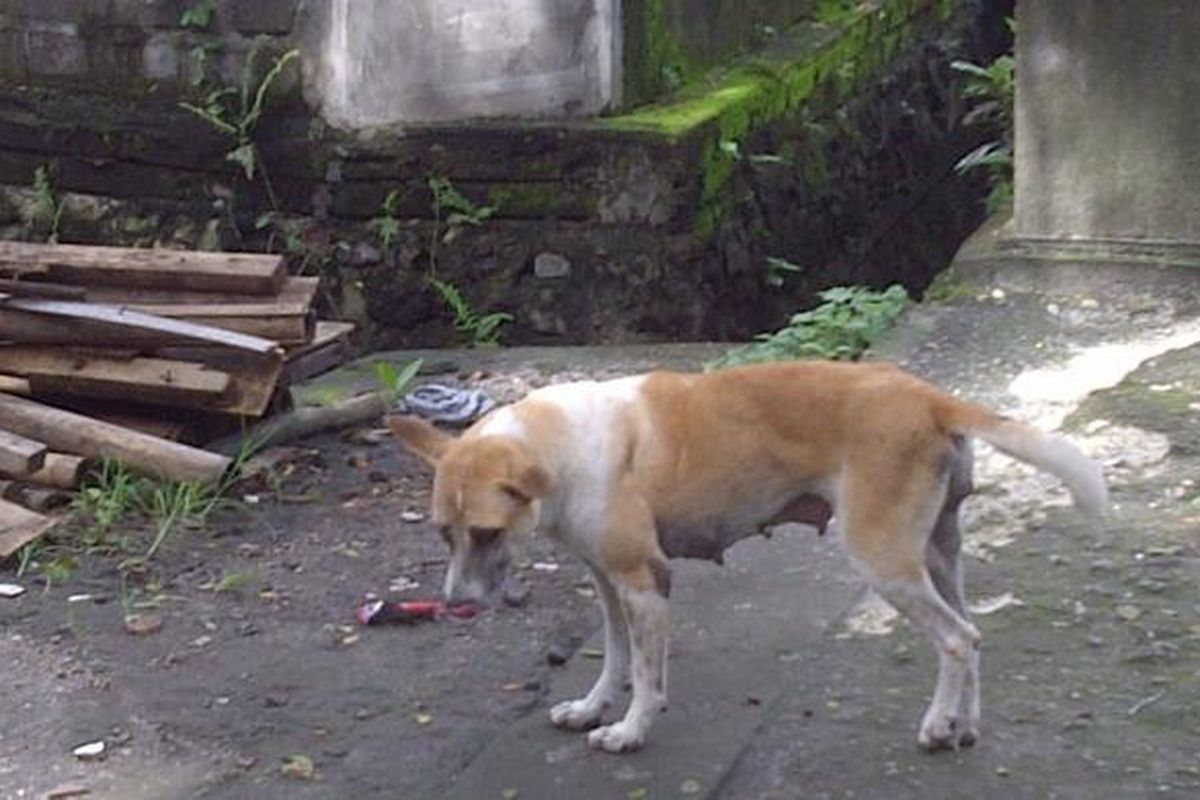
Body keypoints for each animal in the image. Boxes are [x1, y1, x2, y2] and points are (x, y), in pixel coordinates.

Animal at [388, 362, 1108, 758]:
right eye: (444, 534)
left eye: (486, 534)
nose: (453, 605)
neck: (560, 443)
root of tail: (928, 396)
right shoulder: (608, 584)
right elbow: (616, 661)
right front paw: (593, 709)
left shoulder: (645, 582)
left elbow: (646, 676)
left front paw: (629, 732)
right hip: (936, 557)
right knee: (975, 634)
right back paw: (964, 725)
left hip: (884, 561)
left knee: (957, 639)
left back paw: (936, 726)